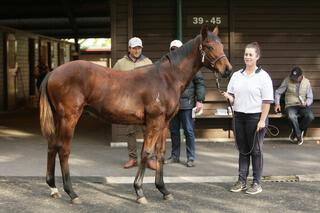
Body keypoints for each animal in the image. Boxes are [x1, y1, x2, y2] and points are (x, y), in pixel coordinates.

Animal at [39, 25, 232, 205]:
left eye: (221, 45)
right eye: (209, 46)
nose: (228, 70)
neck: (167, 78)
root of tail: (53, 72)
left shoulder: (164, 123)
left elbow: (160, 153)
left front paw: (163, 190)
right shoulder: (154, 122)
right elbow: (146, 152)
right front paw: (139, 191)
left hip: (58, 118)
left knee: (52, 146)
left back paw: (53, 188)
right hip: (69, 118)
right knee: (63, 150)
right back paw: (72, 193)